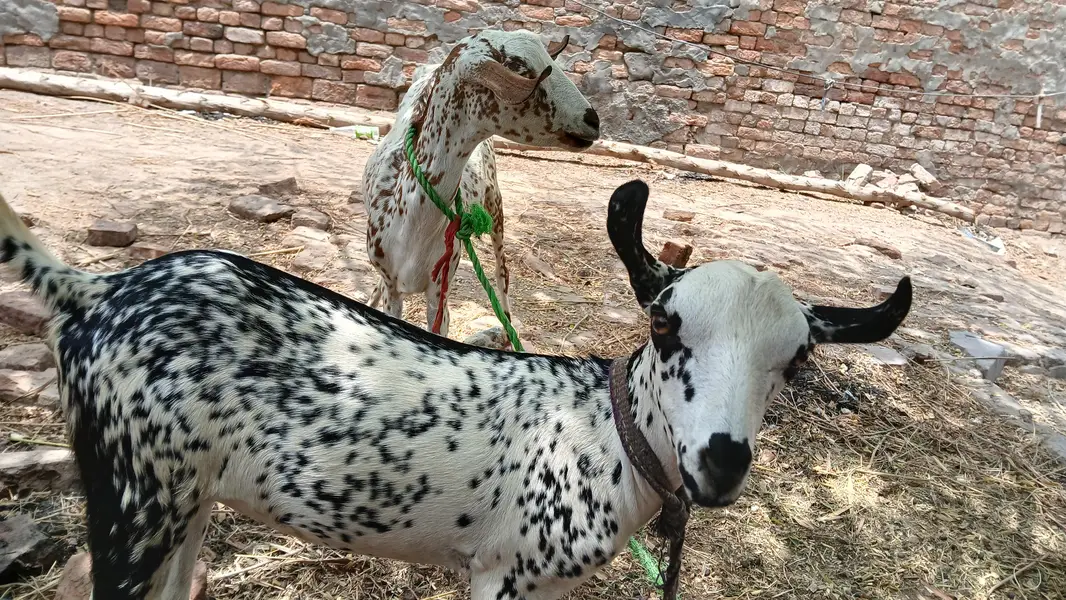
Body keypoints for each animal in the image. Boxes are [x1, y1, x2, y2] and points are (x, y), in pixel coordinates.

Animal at [0, 180, 910, 600]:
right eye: (663, 325)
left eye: (797, 361)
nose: (721, 461)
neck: (600, 435)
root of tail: (90, 292)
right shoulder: (504, 571)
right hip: (132, 496)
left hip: (183, 499)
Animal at [362, 29, 600, 347]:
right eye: (522, 69)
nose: (593, 120)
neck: (410, 227)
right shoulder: (392, 287)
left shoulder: (441, 289)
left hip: (496, 207)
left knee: (502, 277)